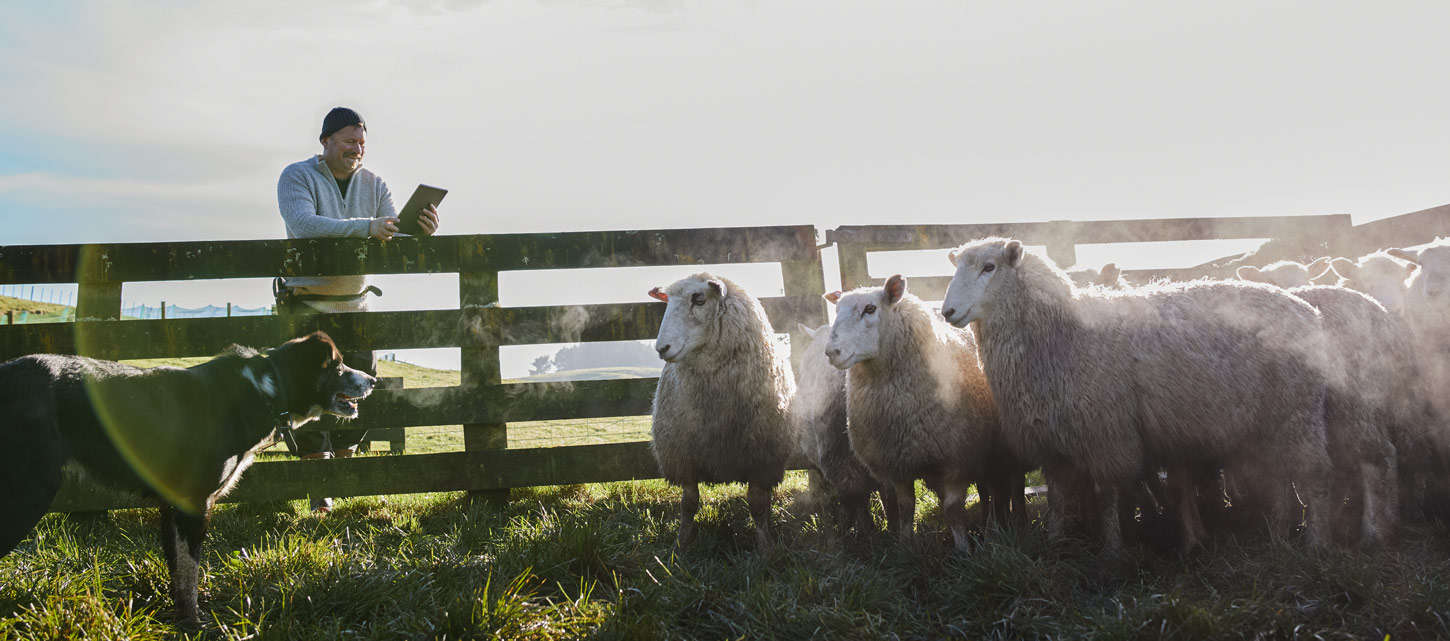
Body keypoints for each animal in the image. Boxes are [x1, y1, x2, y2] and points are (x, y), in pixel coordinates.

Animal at [0, 333, 379, 629]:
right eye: (339, 366)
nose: (373, 381)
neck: (267, 388)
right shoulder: (195, 502)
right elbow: (190, 571)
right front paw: (197, 625)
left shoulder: (173, 505)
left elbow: (180, 574)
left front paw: (184, 620)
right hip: (28, 492)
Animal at [652, 271, 800, 551]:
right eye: (667, 302)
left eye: (698, 299)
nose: (661, 348)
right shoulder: (684, 459)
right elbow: (688, 505)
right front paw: (681, 545)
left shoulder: (762, 462)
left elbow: (758, 505)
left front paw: (766, 548)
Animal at [823, 272, 1026, 548]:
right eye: (836, 310)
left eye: (870, 309)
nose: (831, 352)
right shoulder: (897, 463)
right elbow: (906, 506)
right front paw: (905, 545)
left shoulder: (958, 458)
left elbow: (952, 509)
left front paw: (963, 548)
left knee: (1000, 489)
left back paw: (999, 527)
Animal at [939, 237, 1334, 553]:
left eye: (989, 267)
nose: (947, 312)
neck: (1062, 332)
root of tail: (1307, 310)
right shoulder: (1053, 437)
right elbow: (1057, 496)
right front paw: (1053, 542)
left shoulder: (1107, 433)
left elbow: (1107, 495)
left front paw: (1113, 549)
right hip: (1271, 421)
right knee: (1281, 478)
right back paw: (1280, 537)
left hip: (1298, 412)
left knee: (1314, 476)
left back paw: (1314, 544)